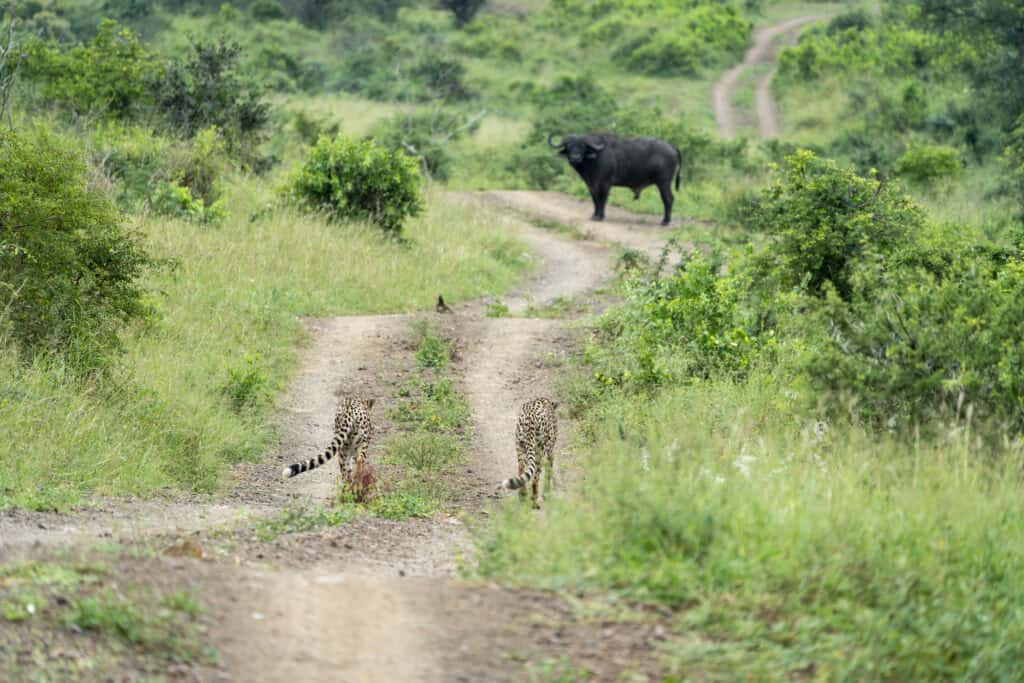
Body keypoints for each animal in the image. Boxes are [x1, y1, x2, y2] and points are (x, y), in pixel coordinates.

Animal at [548, 134, 684, 227]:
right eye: (569, 146)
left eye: (582, 146)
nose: (575, 158)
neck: (595, 159)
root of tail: (672, 147)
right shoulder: (591, 185)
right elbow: (595, 200)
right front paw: (594, 215)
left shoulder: (605, 184)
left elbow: (602, 200)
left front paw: (600, 216)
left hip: (664, 182)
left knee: (668, 199)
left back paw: (665, 221)